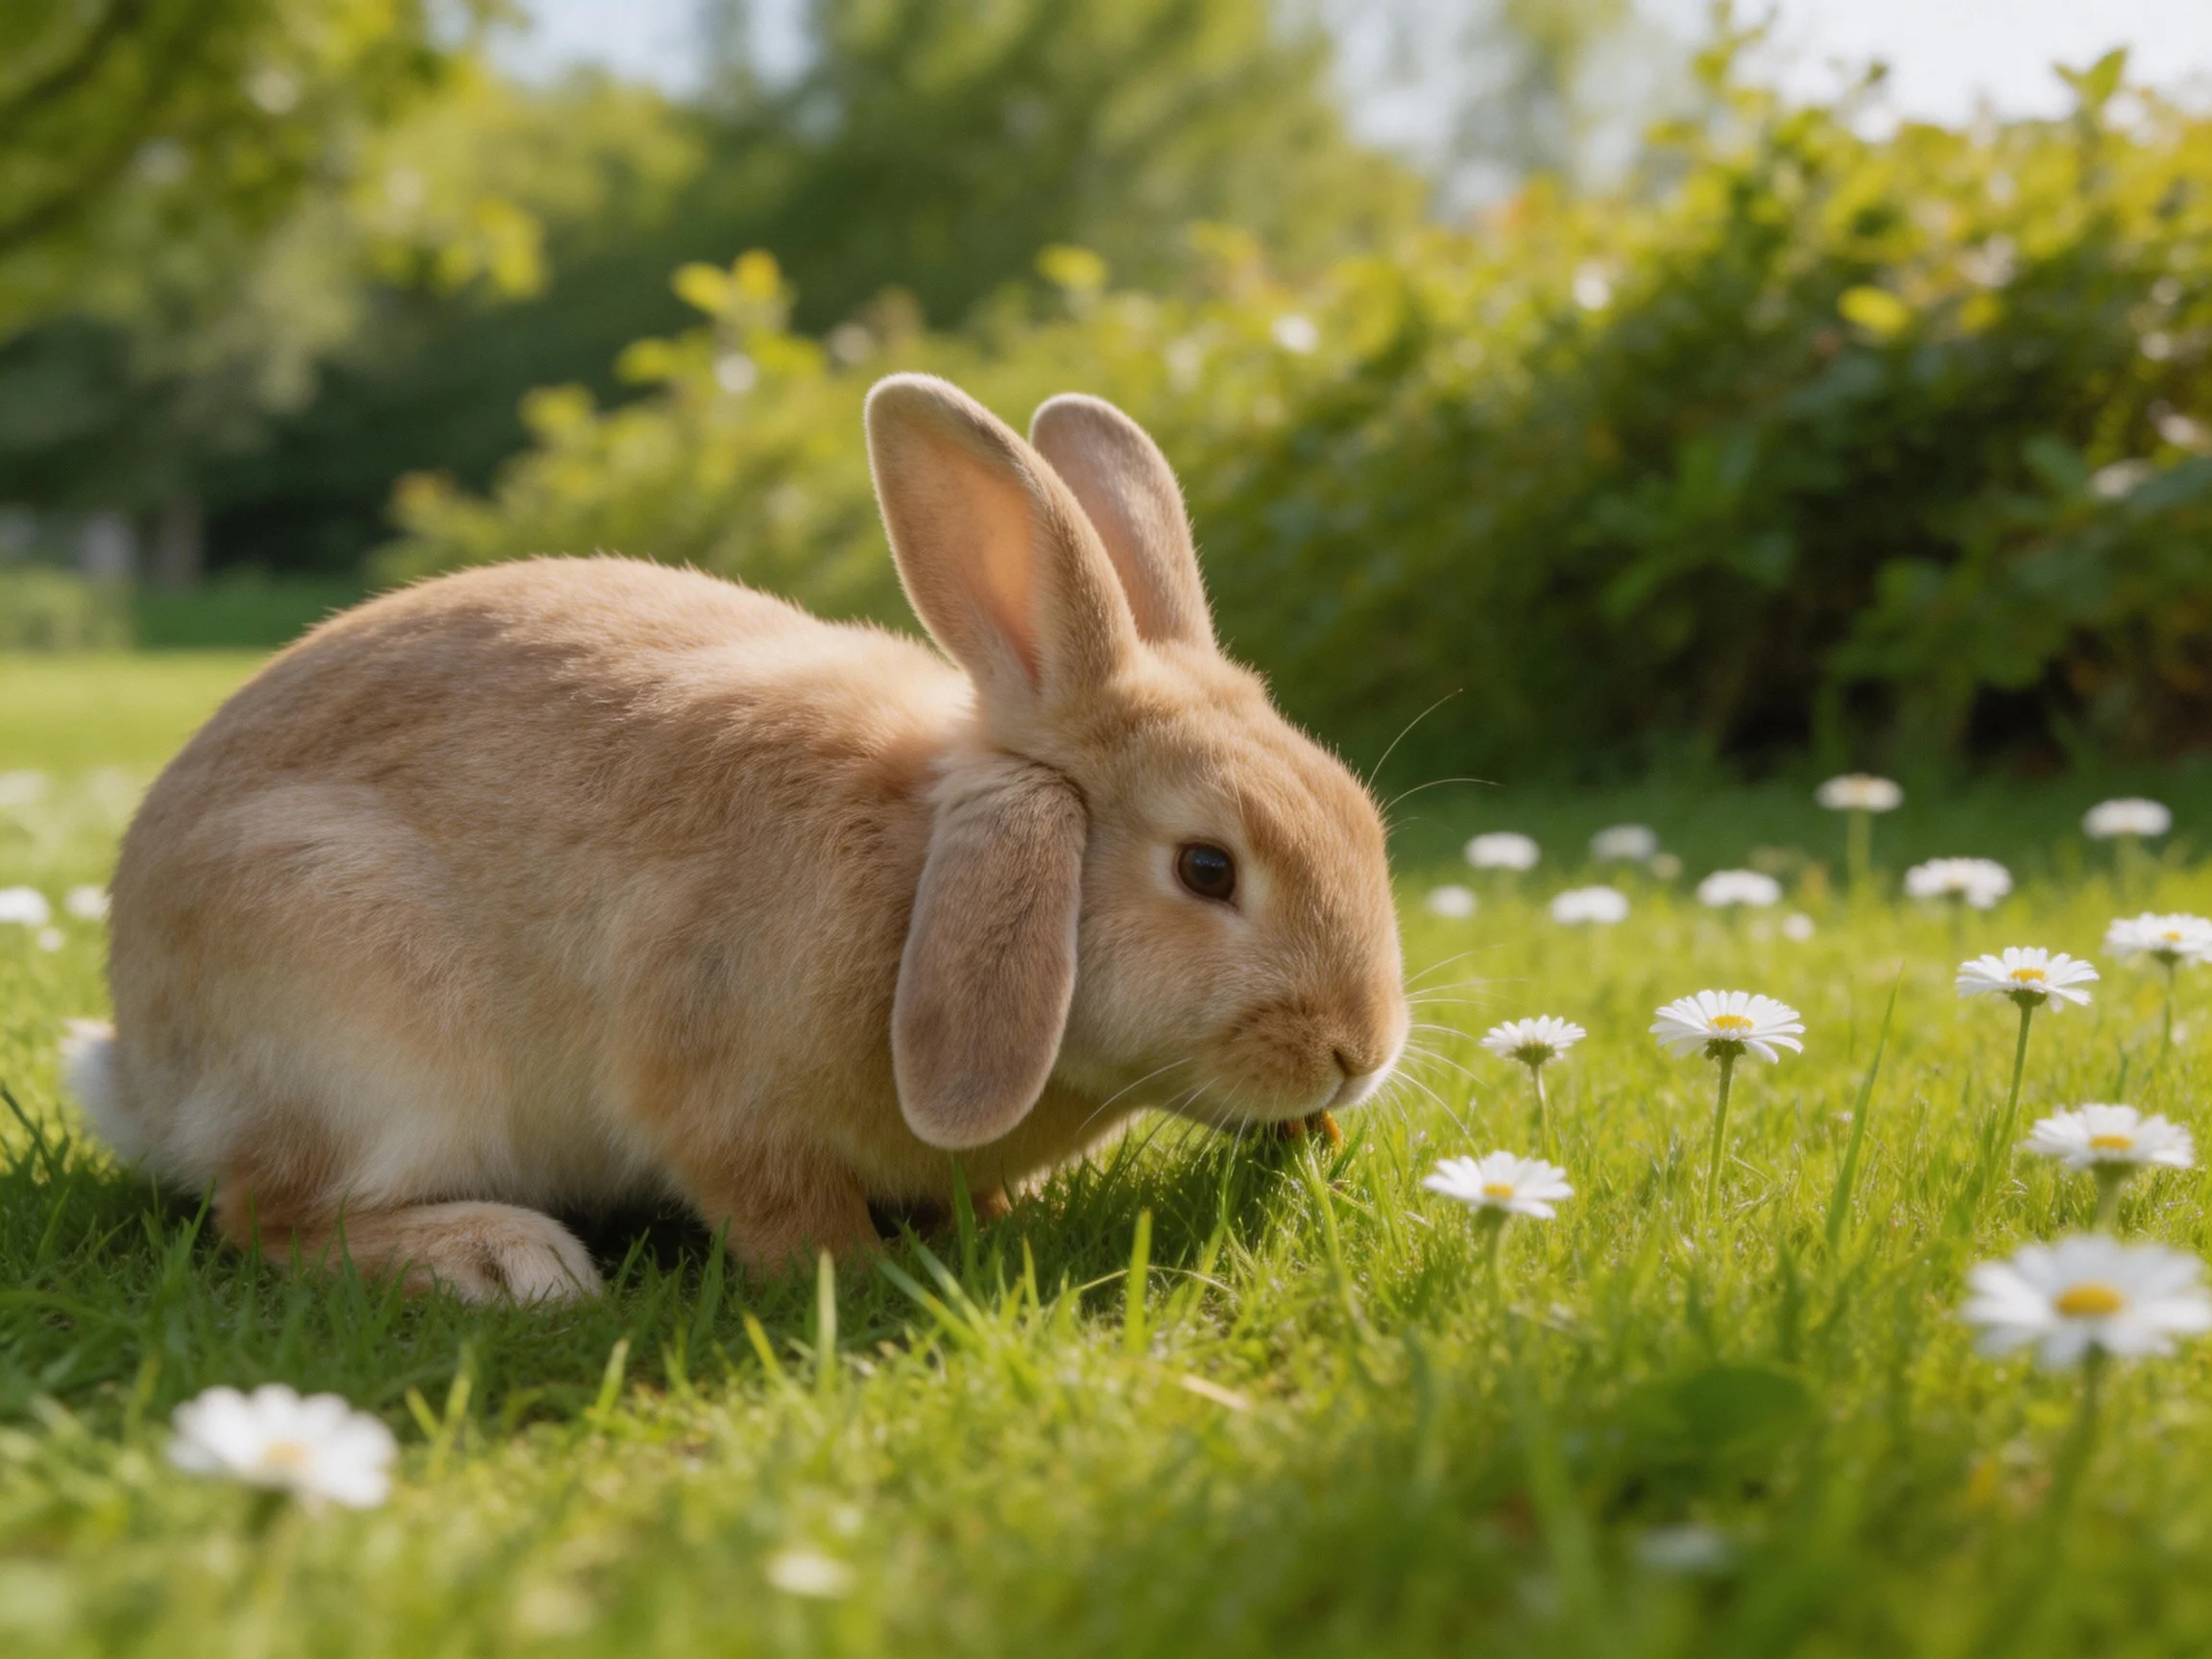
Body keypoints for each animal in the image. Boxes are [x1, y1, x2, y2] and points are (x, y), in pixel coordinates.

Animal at [65, 374, 1409, 1300]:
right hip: (361, 1029)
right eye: (1207, 868)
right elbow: (777, 1208)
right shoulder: (713, 1086)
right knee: (273, 1216)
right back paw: (505, 1266)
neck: (918, 871)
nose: (1361, 1051)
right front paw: (863, 1278)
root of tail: (142, 1069)